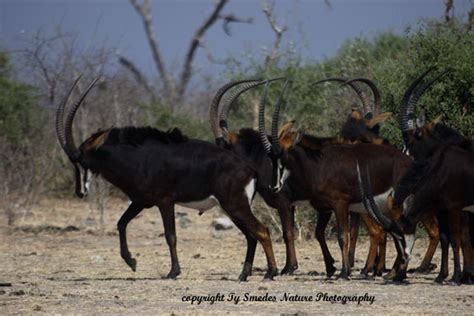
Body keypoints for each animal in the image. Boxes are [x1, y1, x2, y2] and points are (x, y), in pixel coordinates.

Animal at [56, 76, 280, 282]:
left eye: (81, 160)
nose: (80, 192)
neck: (138, 157)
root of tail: (250, 169)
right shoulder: (141, 201)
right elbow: (121, 223)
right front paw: (132, 262)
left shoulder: (165, 202)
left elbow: (170, 236)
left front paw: (173, 272)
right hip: (231, 208)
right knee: (251, 235)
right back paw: (244, 274)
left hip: (235, 205)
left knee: (261, 231)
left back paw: (270, 273)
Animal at [210, 76, 392, 276]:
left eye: (223, 145)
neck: (259, 156)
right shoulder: (295, 204)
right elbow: (303, 231)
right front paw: (320, 265)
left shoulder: (283, 200)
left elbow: (287, 232)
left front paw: (288, 268)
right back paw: (376, 268)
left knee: (377, 230)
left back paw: (369, 269)